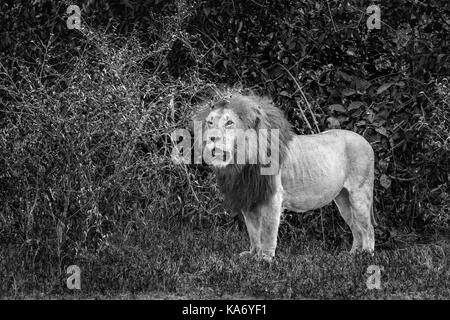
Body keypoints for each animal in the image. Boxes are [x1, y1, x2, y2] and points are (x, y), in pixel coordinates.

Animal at [192, 89, 374, 262]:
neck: (241, 162)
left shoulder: (272, 197)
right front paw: (252, 255)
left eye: (229, 123)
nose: (211, 138)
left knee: (368, 228)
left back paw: (366, 255)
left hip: (359, 194)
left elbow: (267, 230)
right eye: (210, 122)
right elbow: (253, 231)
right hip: (343, 199)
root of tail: (365, 140)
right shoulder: (248, 196)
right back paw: (353, 254)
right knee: (356, 227)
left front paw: (265, 259)